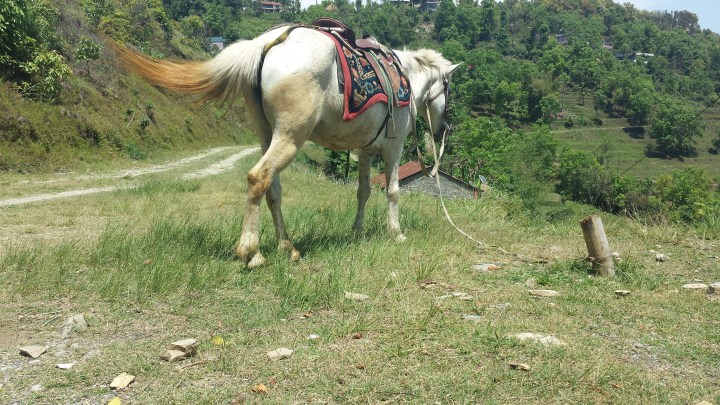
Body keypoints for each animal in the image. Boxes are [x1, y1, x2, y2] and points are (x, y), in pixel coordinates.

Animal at [115, 24, 458, 268]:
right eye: (448, 88)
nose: (442, 129)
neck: (405, 78)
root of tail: (263, 45)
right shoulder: (393, 148)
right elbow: (393, 191)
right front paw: (396, 233)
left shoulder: (362, 152)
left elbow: (363, 192)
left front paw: (357, 232)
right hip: (290, 137)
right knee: (258, 178)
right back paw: (251, 252)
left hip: (269, 135)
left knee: (273, 190)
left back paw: (286, 247)